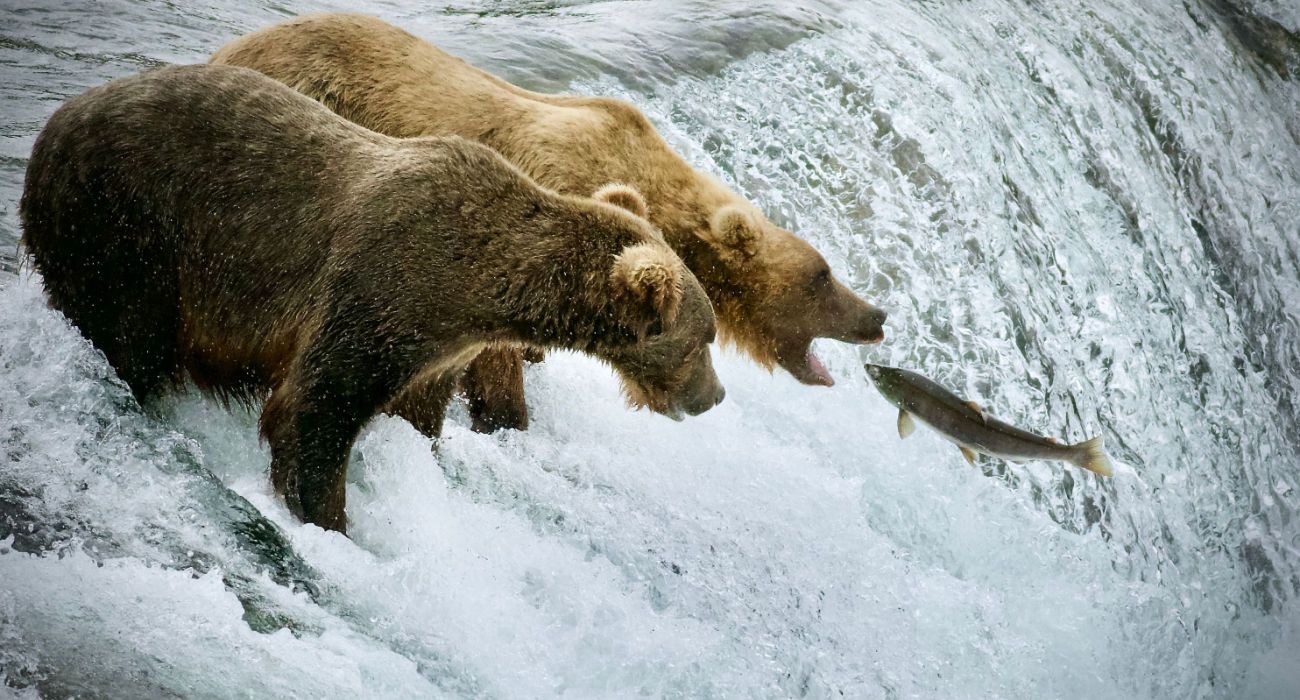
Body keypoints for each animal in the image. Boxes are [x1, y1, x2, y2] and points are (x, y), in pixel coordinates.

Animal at [20, 64, 723, 532]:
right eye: (703, 338)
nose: (715, 396)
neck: (480, 285)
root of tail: (52, 123)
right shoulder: (381, 288)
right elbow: (312, 409)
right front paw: (327, 519)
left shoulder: (436, 350)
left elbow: (414, 414)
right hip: (124, 231)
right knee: (130, 338)